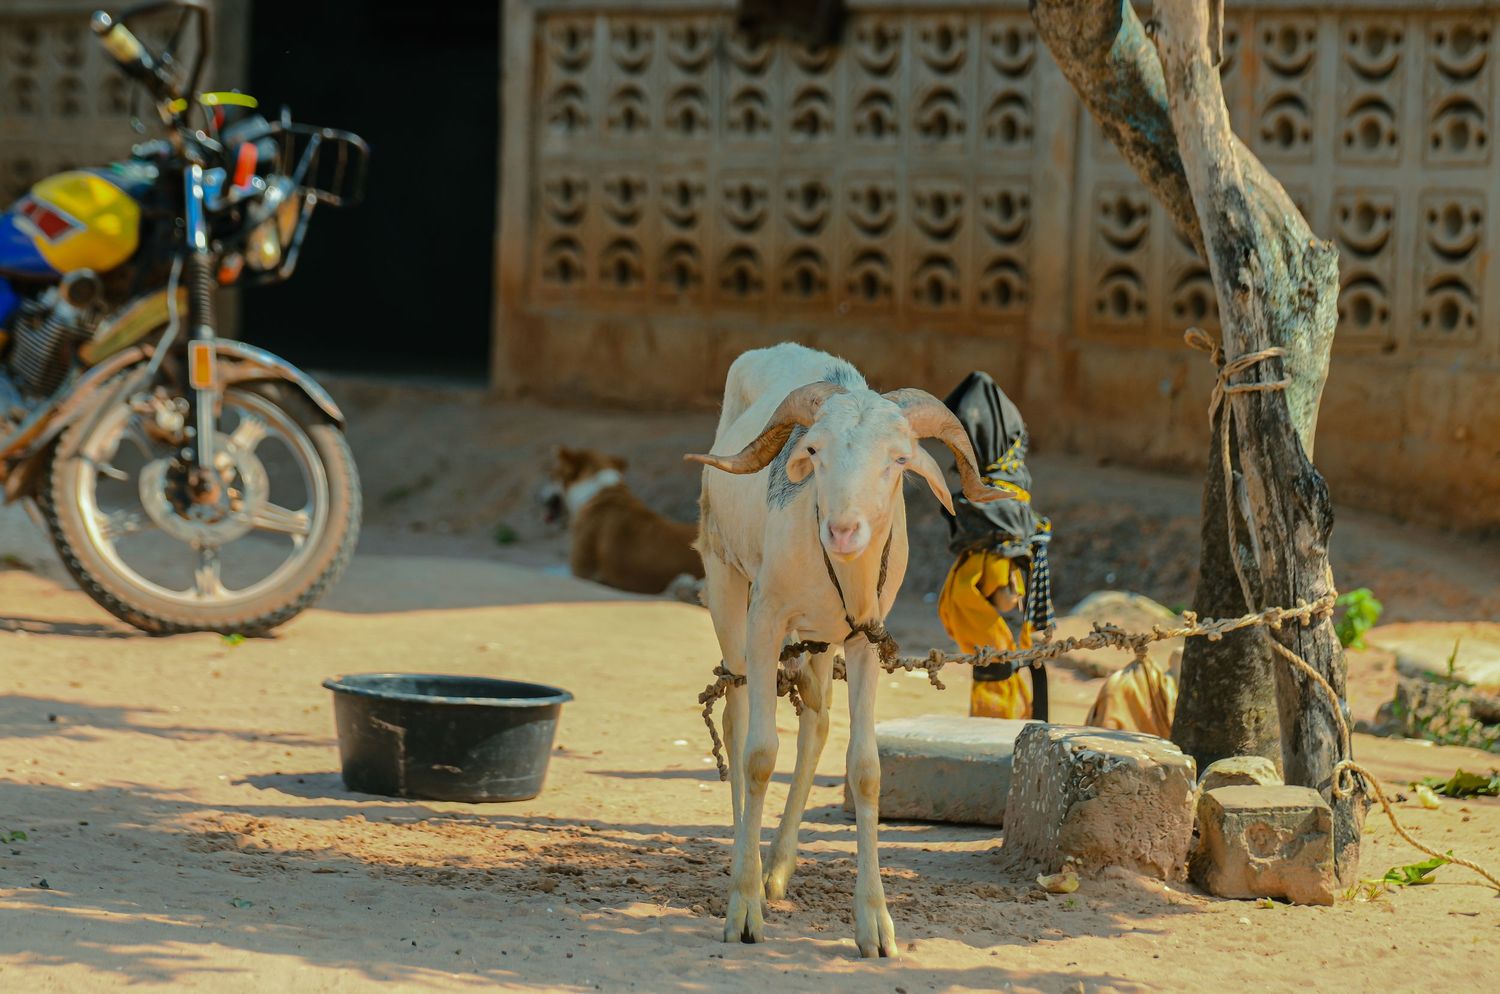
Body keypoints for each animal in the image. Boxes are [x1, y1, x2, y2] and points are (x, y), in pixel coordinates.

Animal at [687, 343, 1006, 957]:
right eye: (814, 450)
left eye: (899, 459)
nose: (843, 531)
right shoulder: (765, 618)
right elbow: (759, 755)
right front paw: (744, 909)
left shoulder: (864, 637)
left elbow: (865, 769)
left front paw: (876, 927)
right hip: (725, 580)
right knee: (737, 717)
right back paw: (747, 859)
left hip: (818, 639)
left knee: (816, 720)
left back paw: (779, 869)